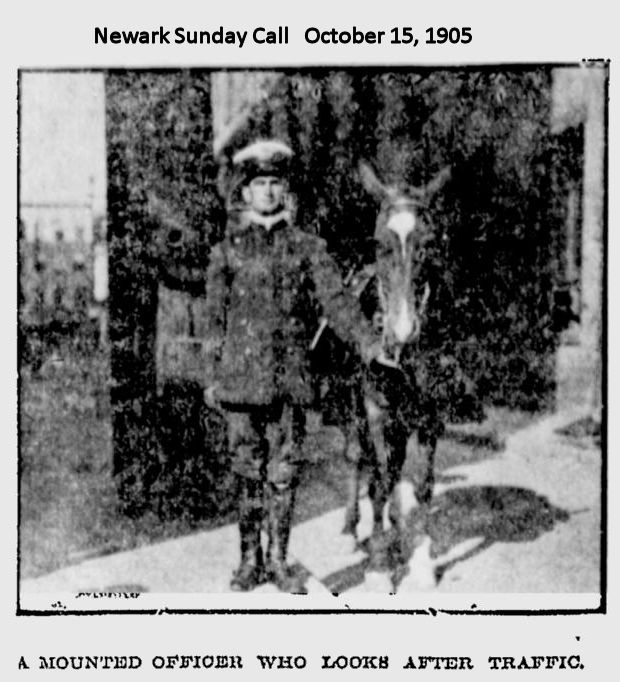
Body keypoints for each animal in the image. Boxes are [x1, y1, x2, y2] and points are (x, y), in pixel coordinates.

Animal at [336, 161, 452, 584]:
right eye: (379, 244)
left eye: (429, 243)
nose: (402, 332)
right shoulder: (376, 410)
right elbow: (382, 481)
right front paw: (380, 565)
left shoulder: (431, 412)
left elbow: (421, 484)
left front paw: (421, 560)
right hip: (352, 404)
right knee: (357, 458)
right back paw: (353, 531)